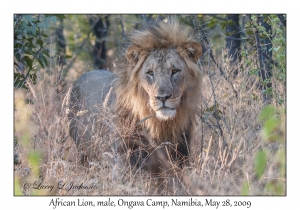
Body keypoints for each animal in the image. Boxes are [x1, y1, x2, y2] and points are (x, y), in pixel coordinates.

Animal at [68, 19, 202, 177]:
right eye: (150, 72)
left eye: (175, 71)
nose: (162, 97)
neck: (160, 125)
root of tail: (79, 78)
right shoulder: (123, 161)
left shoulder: (180, 156)